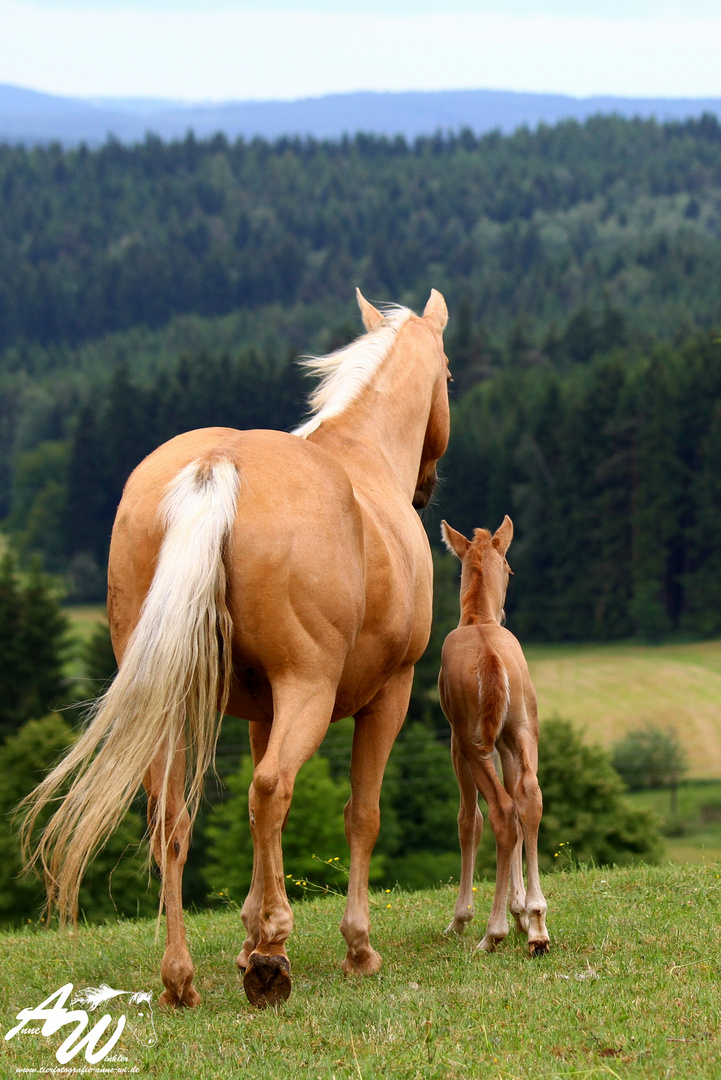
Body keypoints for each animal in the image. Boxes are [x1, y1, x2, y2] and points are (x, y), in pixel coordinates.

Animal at [436, 518, 548, 959]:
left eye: (509, 571)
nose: (502, 612)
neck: (476, 621)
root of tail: (491, 656)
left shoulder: (455, 742)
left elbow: (469, 820)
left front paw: (459, 920)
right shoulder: (505, 741)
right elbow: (520, 804)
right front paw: (522, 913)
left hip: (472, 743)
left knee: (498, 811)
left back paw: (491, 932)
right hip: (522, 729)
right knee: (527, 799)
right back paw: (538, 926)